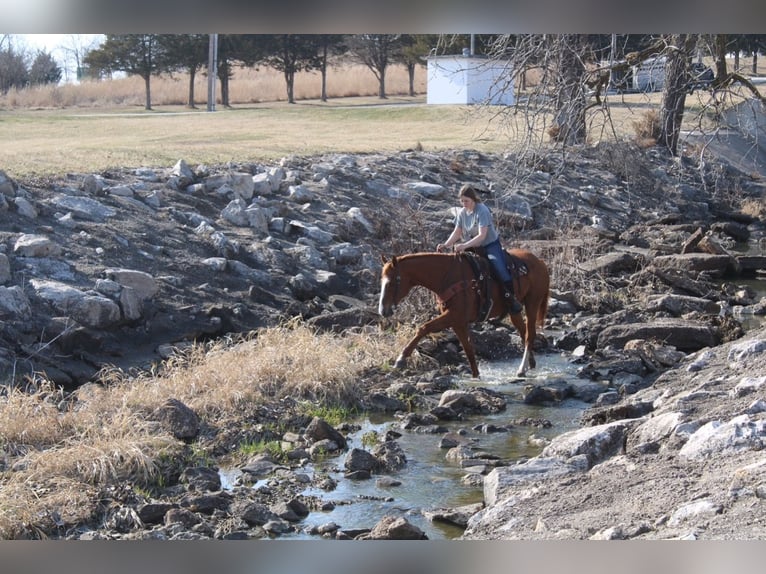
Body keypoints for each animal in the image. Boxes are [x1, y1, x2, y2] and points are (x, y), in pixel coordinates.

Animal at [378, 249, 550, 378]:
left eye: (391, 282)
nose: (383, 310)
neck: (446, 276)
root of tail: (540, 262)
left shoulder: (454, 316)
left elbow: (424, 328)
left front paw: (401, 359)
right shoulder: (458, 322)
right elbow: (468, 350)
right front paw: (476, 377)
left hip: (532, 303)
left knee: (529, 335)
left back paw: (521, 369)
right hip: (514, 311)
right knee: (523, 332)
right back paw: (530, 364)